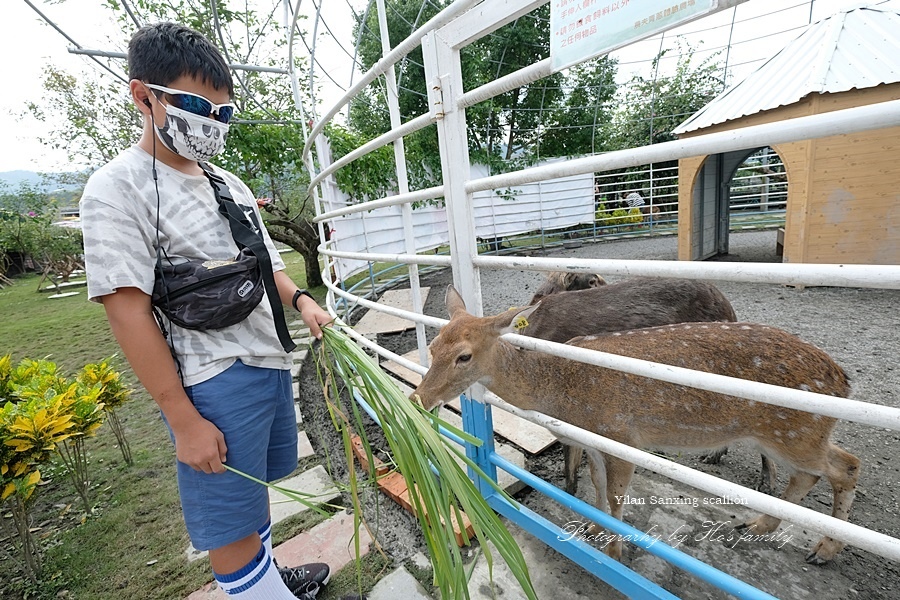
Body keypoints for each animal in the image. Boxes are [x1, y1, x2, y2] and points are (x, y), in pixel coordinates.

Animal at [412, 284, 860, 564]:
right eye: (432, 347)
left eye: (464, 356)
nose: (419, 398)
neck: (562, 390)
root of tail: (842, 380)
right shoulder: (595, 440)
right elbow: (597, 490)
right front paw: (593, 532)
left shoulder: (622, 434)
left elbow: (615, 498)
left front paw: (614, 554)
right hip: (785, 435)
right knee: (811, 474)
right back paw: (761, 524)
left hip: (796, 431)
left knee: (846, 465)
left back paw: (824, 550)